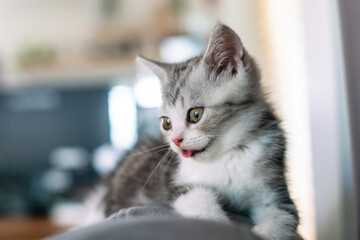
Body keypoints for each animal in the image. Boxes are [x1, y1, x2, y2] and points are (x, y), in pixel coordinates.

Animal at [102, 23, 302, 240]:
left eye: (196, 114)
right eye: (167, 123)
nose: (176, 141)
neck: (227, 156)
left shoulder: (275, 190)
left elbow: (283, 216)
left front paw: (267, 232)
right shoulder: (175, 183)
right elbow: (197, 196)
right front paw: (218, 223)